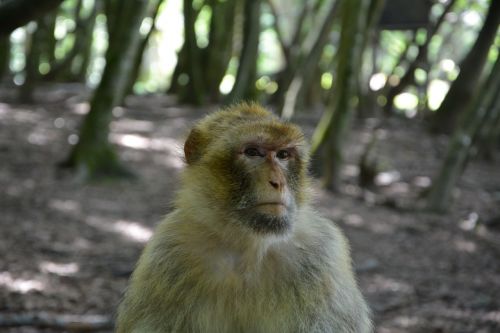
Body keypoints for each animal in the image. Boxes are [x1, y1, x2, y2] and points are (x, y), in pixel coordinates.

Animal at [115, 102, 370, 332]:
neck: (248, 243)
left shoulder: (323, 255)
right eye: (252, 152)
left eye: (283, 155)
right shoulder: (167, 254)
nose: (278, 182)